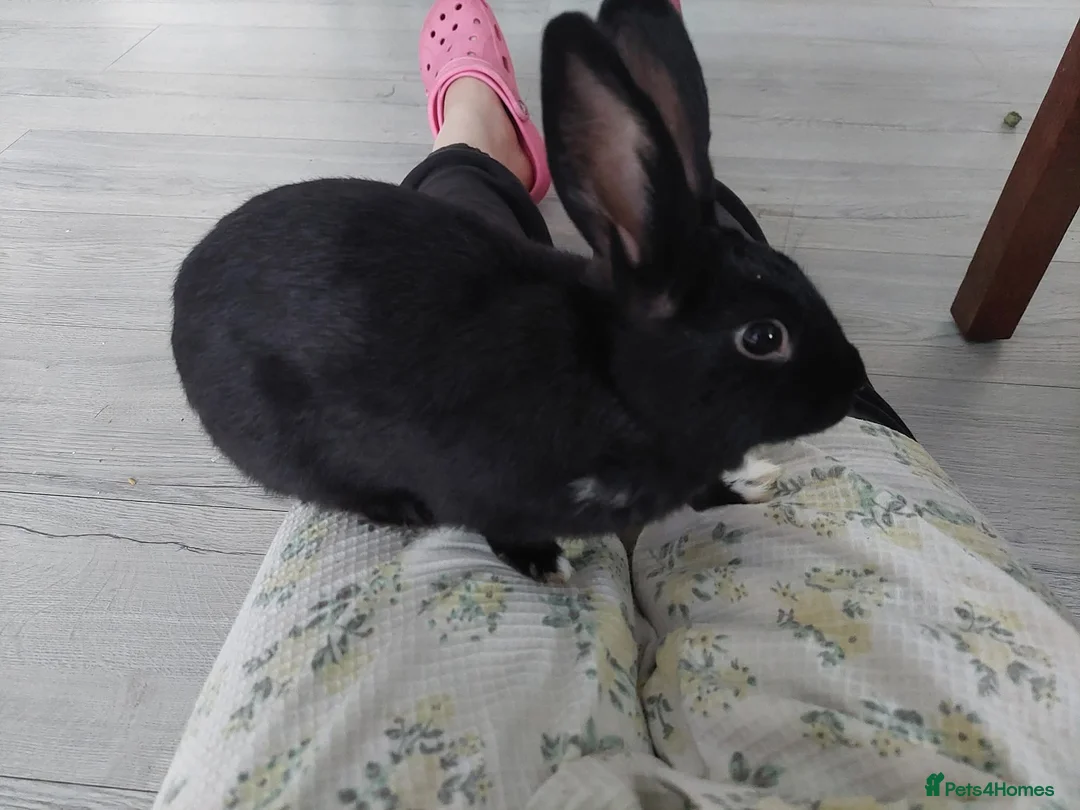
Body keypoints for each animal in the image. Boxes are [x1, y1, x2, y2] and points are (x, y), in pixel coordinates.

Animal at [170, 0, 867, 582]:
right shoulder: (476, 483)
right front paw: (545, 564)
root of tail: (181, 296)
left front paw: (748, 485)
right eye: (763, 336)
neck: (615, 381)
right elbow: (495, 525)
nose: (854, 383)